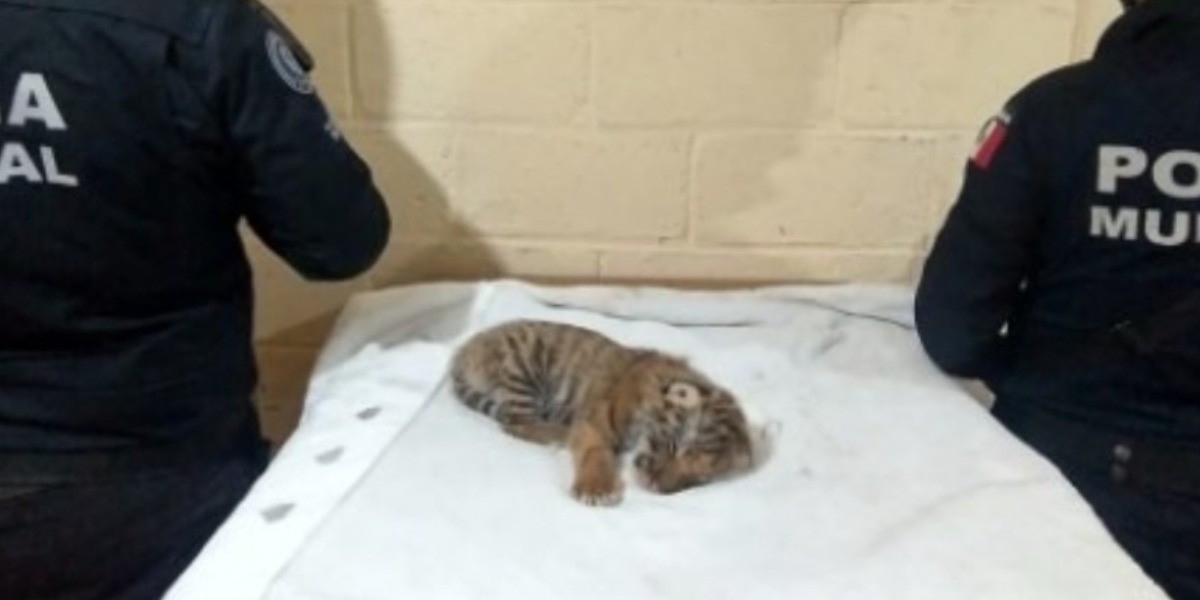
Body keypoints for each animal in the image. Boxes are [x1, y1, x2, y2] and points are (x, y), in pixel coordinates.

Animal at [449, 319, 758, 507]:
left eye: (696, 480)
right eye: (675, 447)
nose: (655, 486)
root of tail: (463, 351)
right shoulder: (598, 420)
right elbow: (595, 451)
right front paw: (596, 489)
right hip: (523, 362)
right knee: (514, 422)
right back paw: (562, 432)